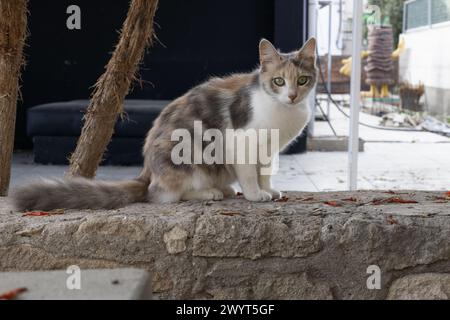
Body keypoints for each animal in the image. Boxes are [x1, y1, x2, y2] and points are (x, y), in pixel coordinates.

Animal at [12, 37, 318, 211]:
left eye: (302, 80)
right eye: (278, 81)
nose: (292, 95)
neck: (284, 111)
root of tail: (147, 170)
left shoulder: (268, 150)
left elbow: (264, 173)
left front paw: (269, 190)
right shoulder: (241, 142)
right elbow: (249, 174)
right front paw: (255, 195)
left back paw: (224, 188)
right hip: (186, 153)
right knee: (166, 195)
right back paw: (211, 192)